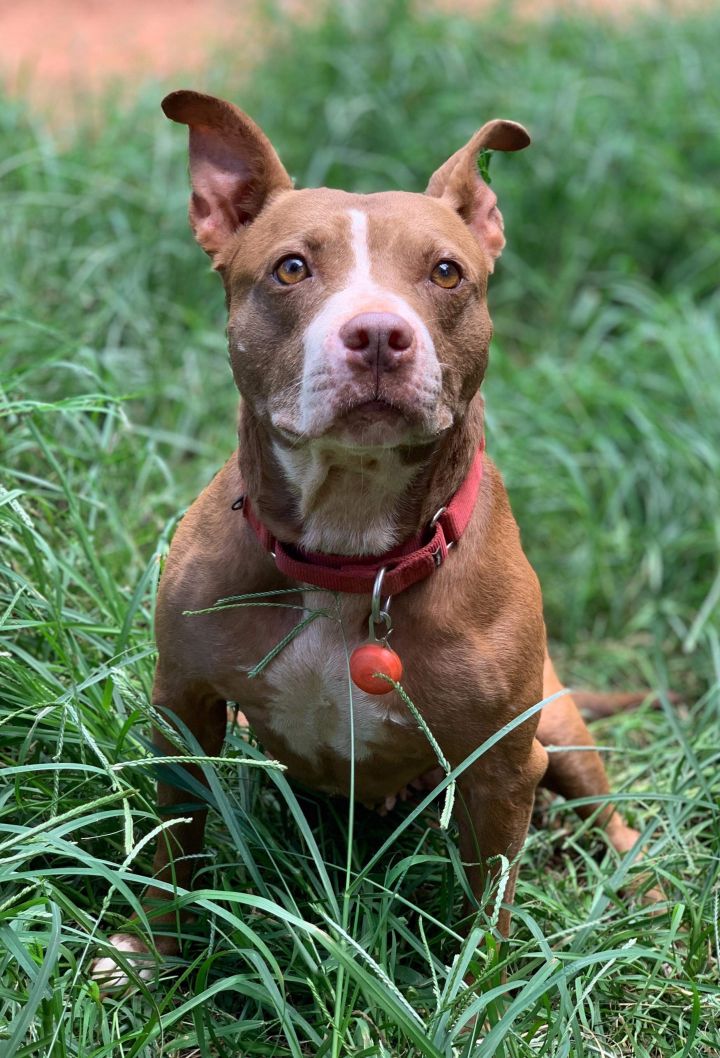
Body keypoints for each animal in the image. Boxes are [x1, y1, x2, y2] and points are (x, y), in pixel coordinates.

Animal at [94, 88, 651, 981]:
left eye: (447, 271)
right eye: (291, 268)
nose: (381, 334)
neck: (350, 552)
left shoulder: (502, 768)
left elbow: (490, 905)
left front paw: (478, 994)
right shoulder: (182, 710)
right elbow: (175, 845)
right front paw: (153, 950)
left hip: (558, 728)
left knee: (605, 811)